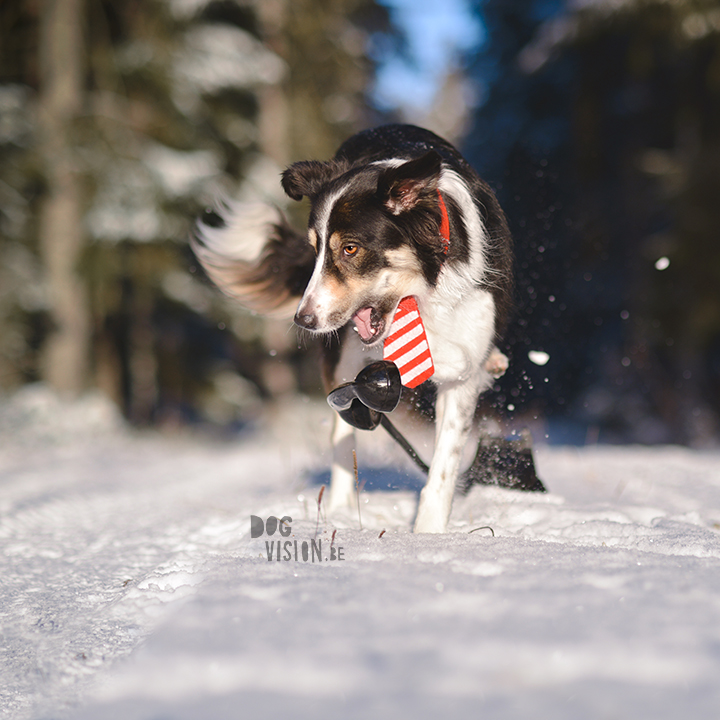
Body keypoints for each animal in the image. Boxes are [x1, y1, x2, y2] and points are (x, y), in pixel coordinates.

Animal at [191, 124, 516, 532]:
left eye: (350, 248)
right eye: (315, 249)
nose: (303, 321)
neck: (418, 293)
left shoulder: (464, 355)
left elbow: (444, 461)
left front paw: (428, 532)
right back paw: (341, 513)